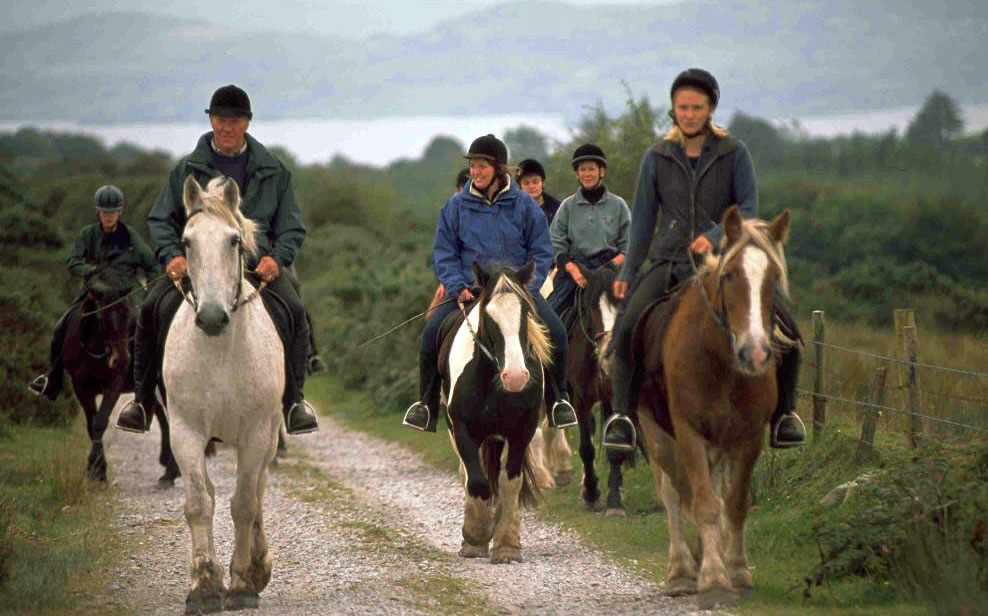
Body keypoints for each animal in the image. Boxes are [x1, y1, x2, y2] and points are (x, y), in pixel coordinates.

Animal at [62, 268, 178, 484]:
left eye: (128, 316)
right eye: (101, 319)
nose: (122, 360)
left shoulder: (114, 384)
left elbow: (100, 421)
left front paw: (97, 469)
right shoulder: (80, 387)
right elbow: (91, 424)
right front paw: (96, 469)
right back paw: (168, 468)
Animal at [164, 173, 284, 612]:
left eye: (234, 241)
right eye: (186, 242)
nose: (213, 317)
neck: (218, 355)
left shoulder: (255, 434)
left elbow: (245, 504)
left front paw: (242, 584)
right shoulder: (184, 431)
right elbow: (200, 504)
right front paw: (203, 586)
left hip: (269, 435)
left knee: (259, 492)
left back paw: (258, 568)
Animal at [440, 260, 548, 564]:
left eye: (526, 312)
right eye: (488, 316)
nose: (515, 377)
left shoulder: (522, 430)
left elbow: (509, 482)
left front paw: (507, 545)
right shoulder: (462, 428)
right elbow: (477, 482)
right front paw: (476, 536)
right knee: (469, 474)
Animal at [632, 206, 796, 608]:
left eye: (774, 277)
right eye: (729, 275)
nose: (755, 353)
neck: (721, 362)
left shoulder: (748, 436)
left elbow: (734, 503)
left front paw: (736, 570)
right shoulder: (688, 431)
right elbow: (702, 503)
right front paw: (713, 578)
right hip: (658, 433)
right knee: (674, 494)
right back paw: (682, 569)